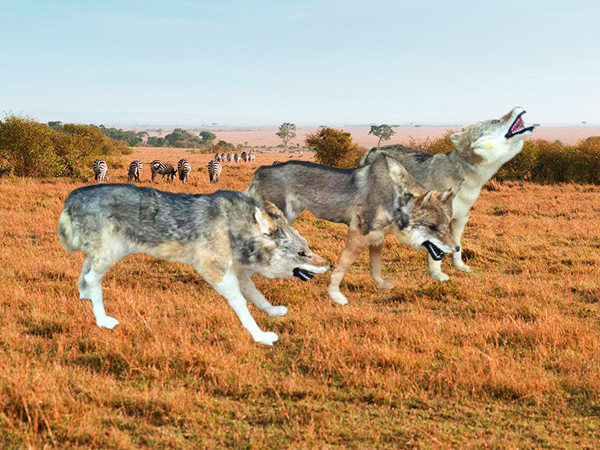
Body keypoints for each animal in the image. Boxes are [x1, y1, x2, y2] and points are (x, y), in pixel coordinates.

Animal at [58, 185, 330, 346]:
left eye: (308, 248)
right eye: (302, 253)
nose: (328, 265)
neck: (235, 227)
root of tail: (71, 196)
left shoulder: (240, 274)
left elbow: (258, 297)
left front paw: (273, 312)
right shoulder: (216, 272)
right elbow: (242, 305)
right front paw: (260, 336)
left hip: (105, 254)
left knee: (84, 271)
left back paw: (84, 296)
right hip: (110, 254)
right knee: (92, 278)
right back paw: (102, 320)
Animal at [246, 157, 458, 306]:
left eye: (446, 226)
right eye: (432, 227)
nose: (457, 248)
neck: (394, 195)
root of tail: (260, 170)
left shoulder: (377, 238)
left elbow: (375, 267)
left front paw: (381, 284)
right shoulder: (357, 235)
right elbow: (341, 267)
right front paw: (335, 295)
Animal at [360, 107, 536, 280]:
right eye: (495, 121)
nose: (519, 107)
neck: (469, 180)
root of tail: (374, 149)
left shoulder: (460, 219)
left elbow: (458, 246)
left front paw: (460, 267)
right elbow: (436, 249)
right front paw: (437, 274)